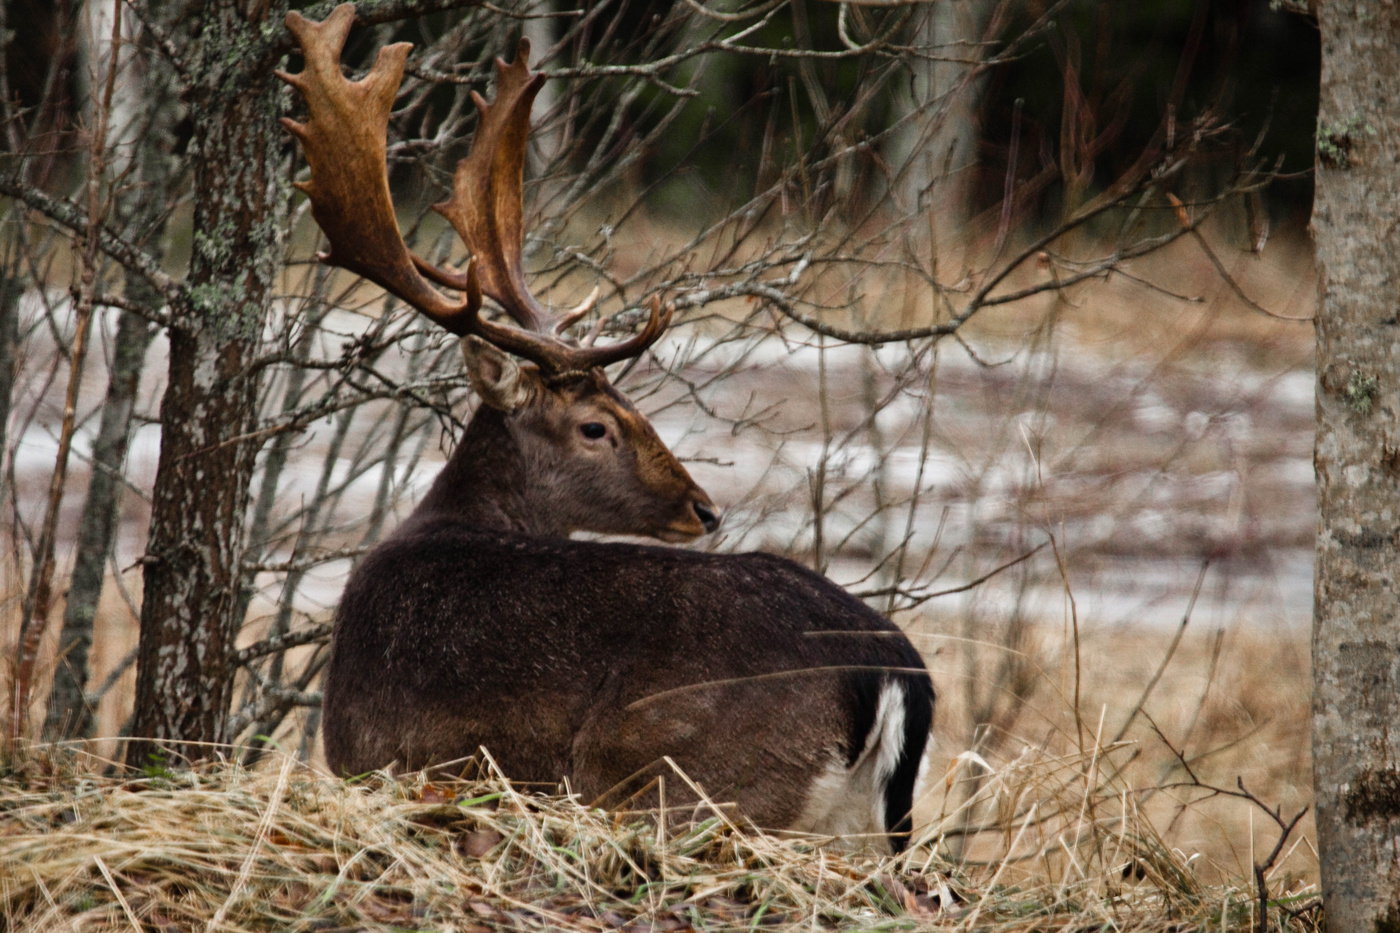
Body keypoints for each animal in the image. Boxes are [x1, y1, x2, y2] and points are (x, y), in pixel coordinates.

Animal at [278, 5, 935, 851]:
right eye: (597, 424)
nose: (703, 506)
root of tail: (891, 674)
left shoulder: (379, 756)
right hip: (863, 829)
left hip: (699, 790)